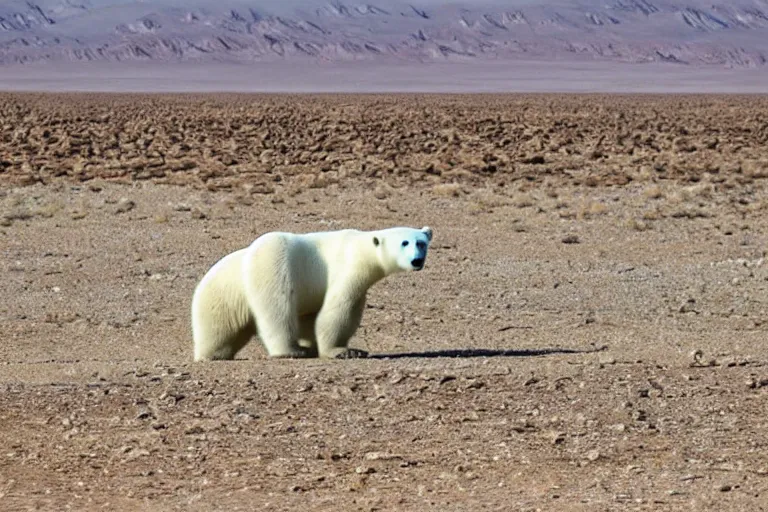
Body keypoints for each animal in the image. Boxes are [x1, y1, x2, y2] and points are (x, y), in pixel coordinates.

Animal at [190, 226, 436, 362]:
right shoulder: (347, 270)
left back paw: (214, 353)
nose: (417, 261)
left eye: (421, 243)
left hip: (222, 298)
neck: (360, 248)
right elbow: (338, 311)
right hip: (271, 261)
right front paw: (342, 351)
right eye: (404, 242)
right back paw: (292, 350)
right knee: (277, 309)